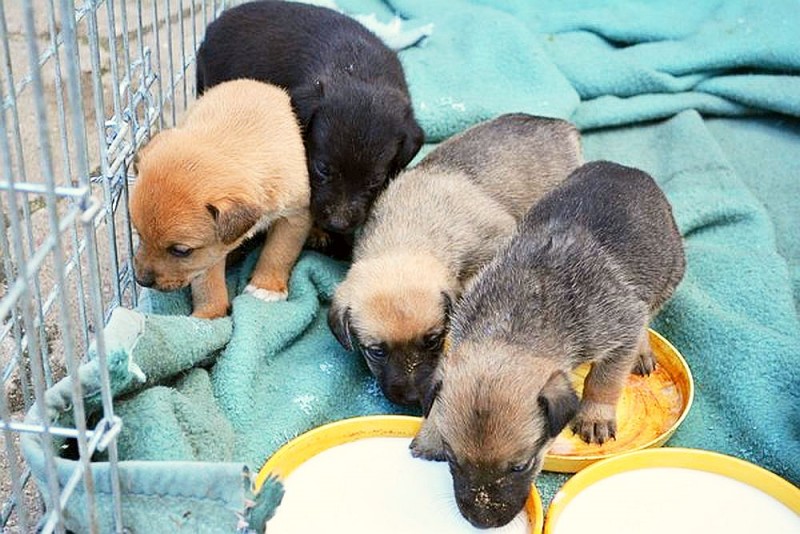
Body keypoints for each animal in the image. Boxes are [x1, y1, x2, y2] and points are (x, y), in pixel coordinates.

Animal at [130, 79, 310, 320]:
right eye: (139, 234)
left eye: (180, 251)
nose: (141, 280)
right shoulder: (210, 253)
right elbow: (207, 283)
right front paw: (208, 316)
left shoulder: (295, 215)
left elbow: (279, 252)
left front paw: (266, 287)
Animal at [412, 161, 688, 528]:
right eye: (453, 460)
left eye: (521, 466)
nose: (482, 522)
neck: (514, 326)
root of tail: (627, 169)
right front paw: (430, 431)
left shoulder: (618, 329)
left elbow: (604, 380)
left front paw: (595, 415)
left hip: (666, 274)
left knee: (647, 315)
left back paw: (642, 351)